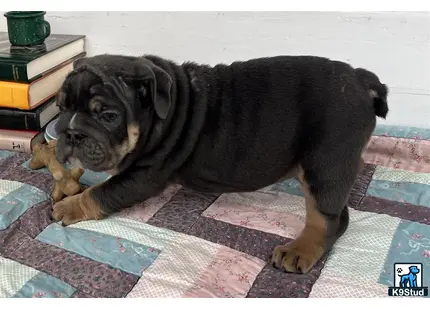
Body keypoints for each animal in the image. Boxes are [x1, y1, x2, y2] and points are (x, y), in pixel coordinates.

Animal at [52, 53, 388, 274]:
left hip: (325, 162)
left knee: (327, 217)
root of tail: (360, 80)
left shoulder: (143, 176)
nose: (70, 133)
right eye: (61, 107)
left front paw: (69, 205)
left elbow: (103, 192)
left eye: (108, 116)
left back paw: (299, 250)